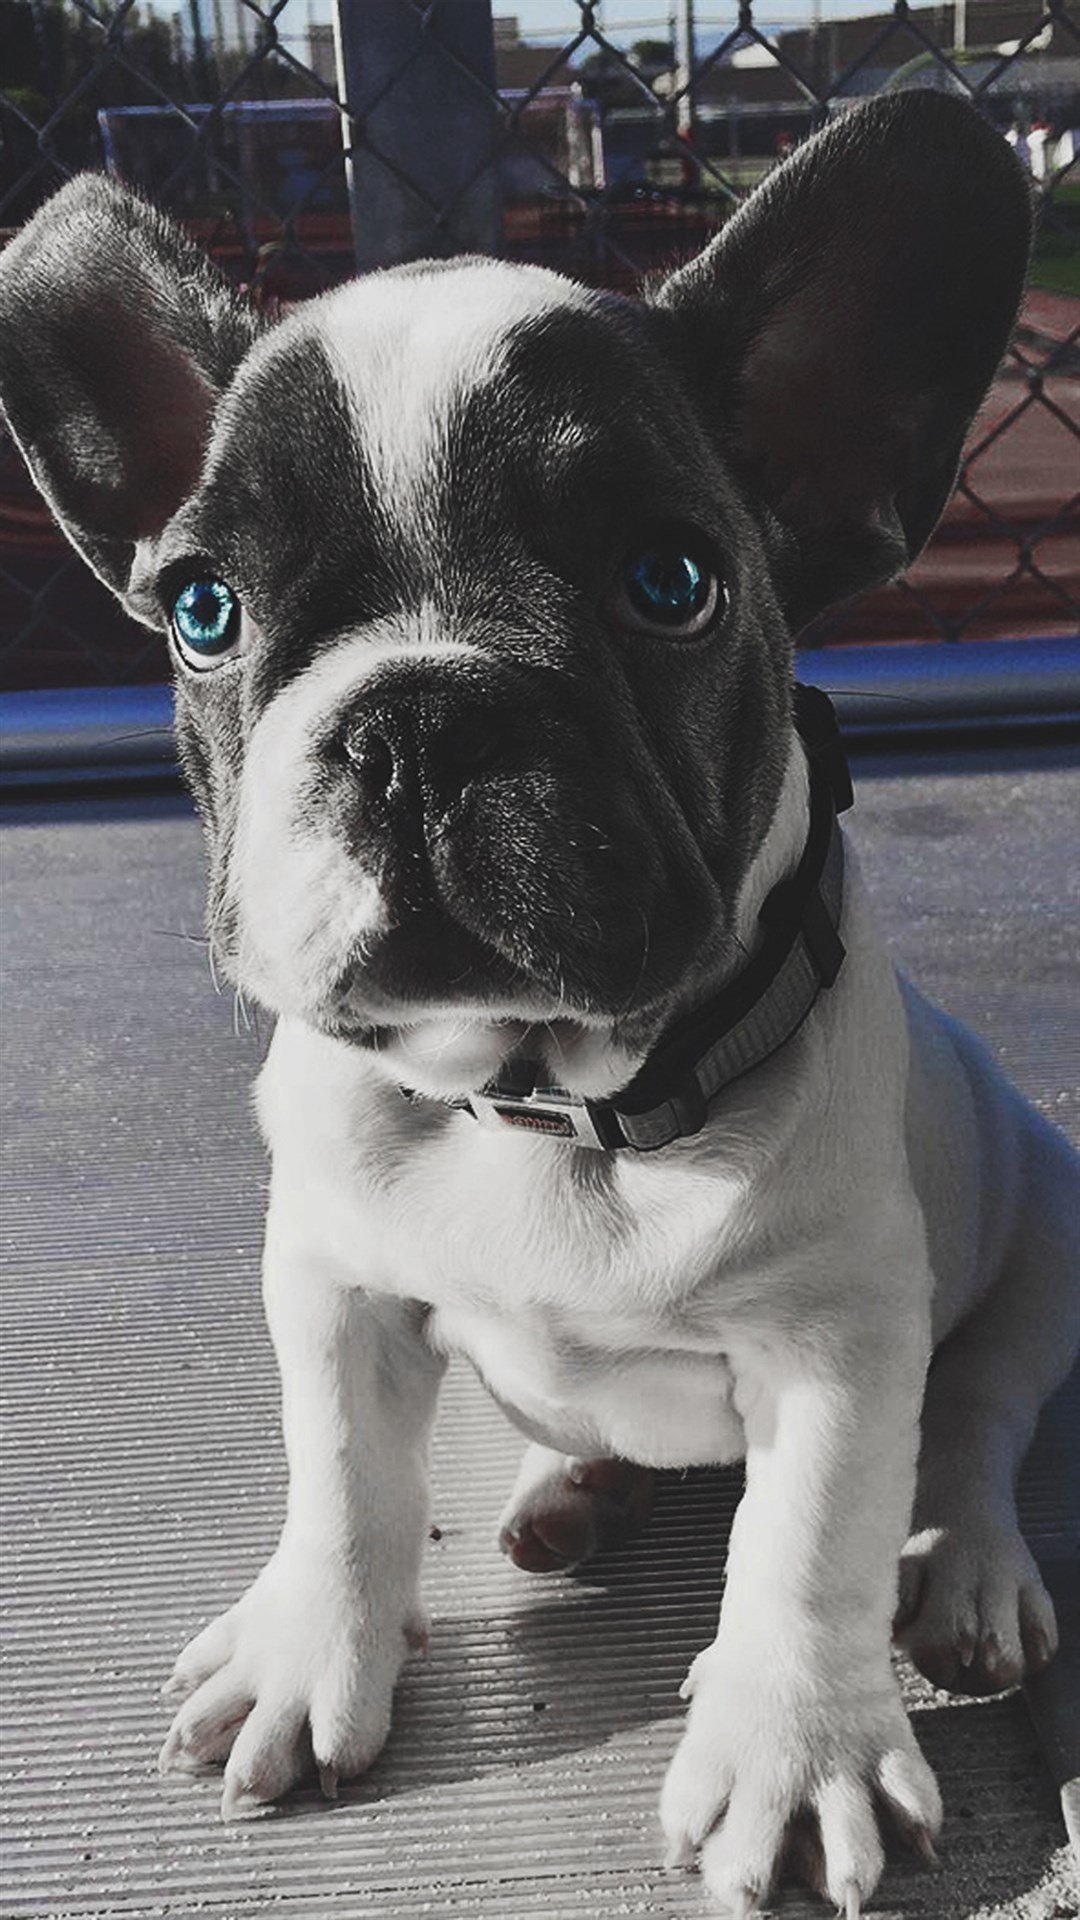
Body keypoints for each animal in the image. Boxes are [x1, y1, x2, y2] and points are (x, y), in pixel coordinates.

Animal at [2, 90, 1077, 1918]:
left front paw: (795, 1758)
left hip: (1040, 1231)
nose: (417, 721)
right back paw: (563, 1484)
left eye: (671, 584)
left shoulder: (842, 1339)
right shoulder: (329, 1281)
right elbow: (340, 1478)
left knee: (978, 1426)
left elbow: (813, 1540)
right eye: (206, 609)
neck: (549, 1097)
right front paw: (312, 1650)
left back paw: (970, 1578)